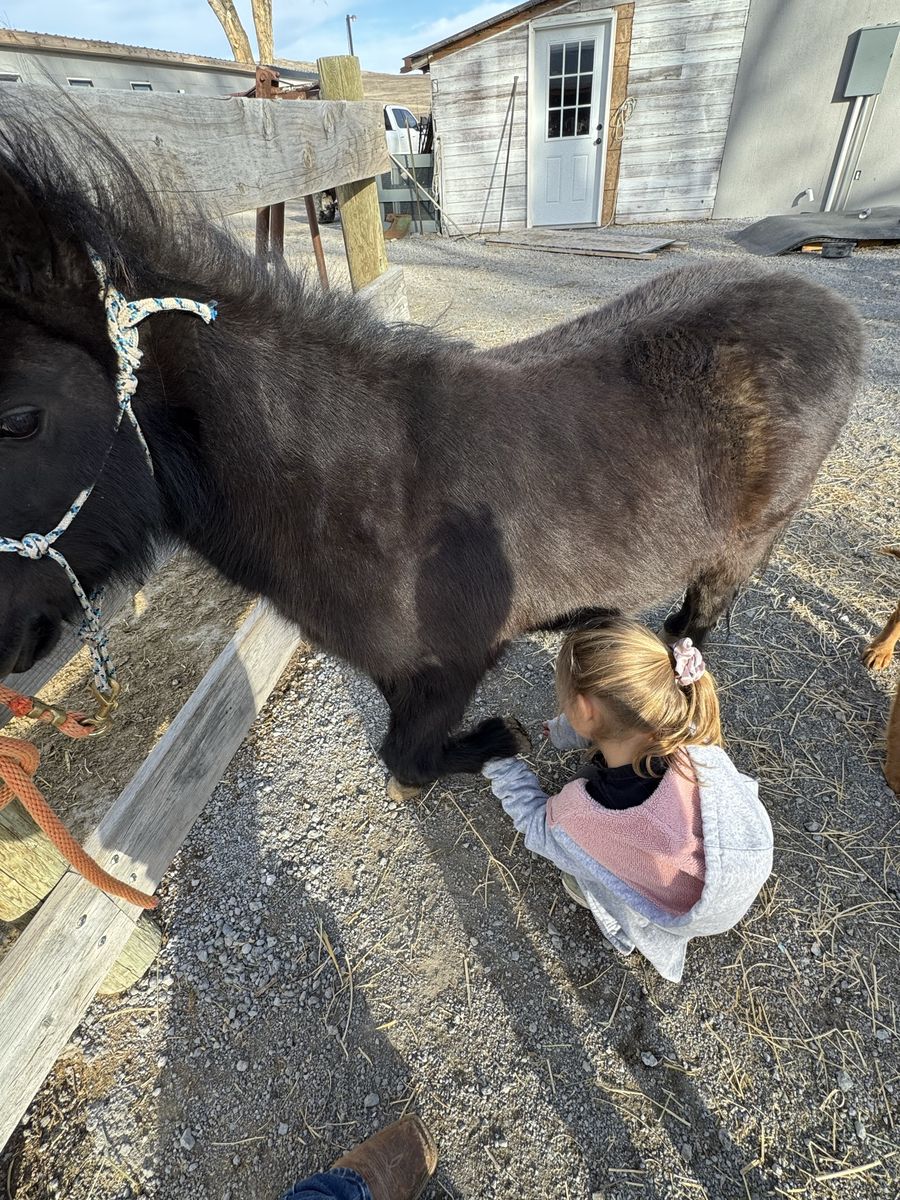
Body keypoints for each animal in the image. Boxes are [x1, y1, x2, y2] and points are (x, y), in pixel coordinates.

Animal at [0, 113, 863, 791]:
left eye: (19, 418)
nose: (7, 645)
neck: (364, 493)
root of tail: (833, 310)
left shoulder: (454, 666)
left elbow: (408, 759)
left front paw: (491, 743)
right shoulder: (398, 670)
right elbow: (398, 745)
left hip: (744, 546)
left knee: (699, 621)